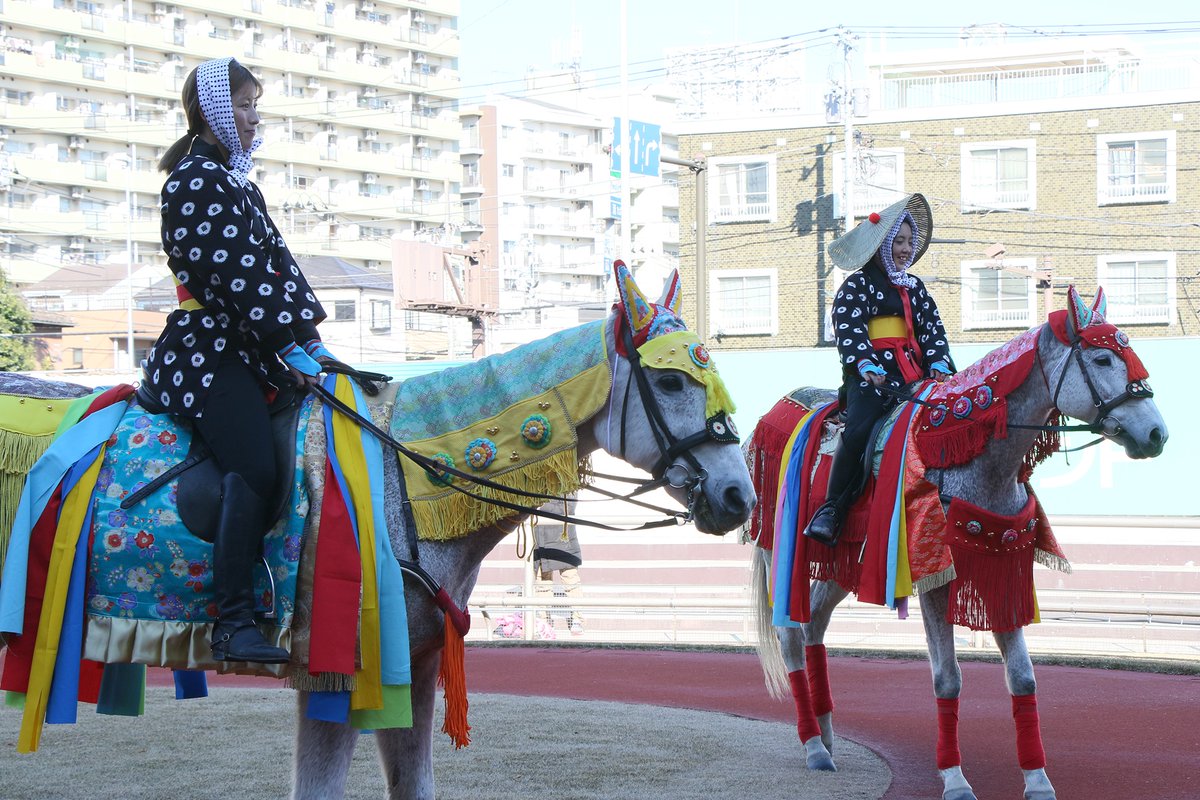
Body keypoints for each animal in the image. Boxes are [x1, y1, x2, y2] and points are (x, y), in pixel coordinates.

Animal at [744, 287, 1166, 800]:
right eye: (1103, 358)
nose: (1156, 433)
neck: (966, 453)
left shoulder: (1003, 569)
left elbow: (1023, 678)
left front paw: (1037, 781)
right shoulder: (934, 580)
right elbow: (947, 679)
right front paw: (954, 780)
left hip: (846, 565)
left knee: (814, 629)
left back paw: (826, 738)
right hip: (780, 549)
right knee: (790, 635)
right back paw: (812, 746)